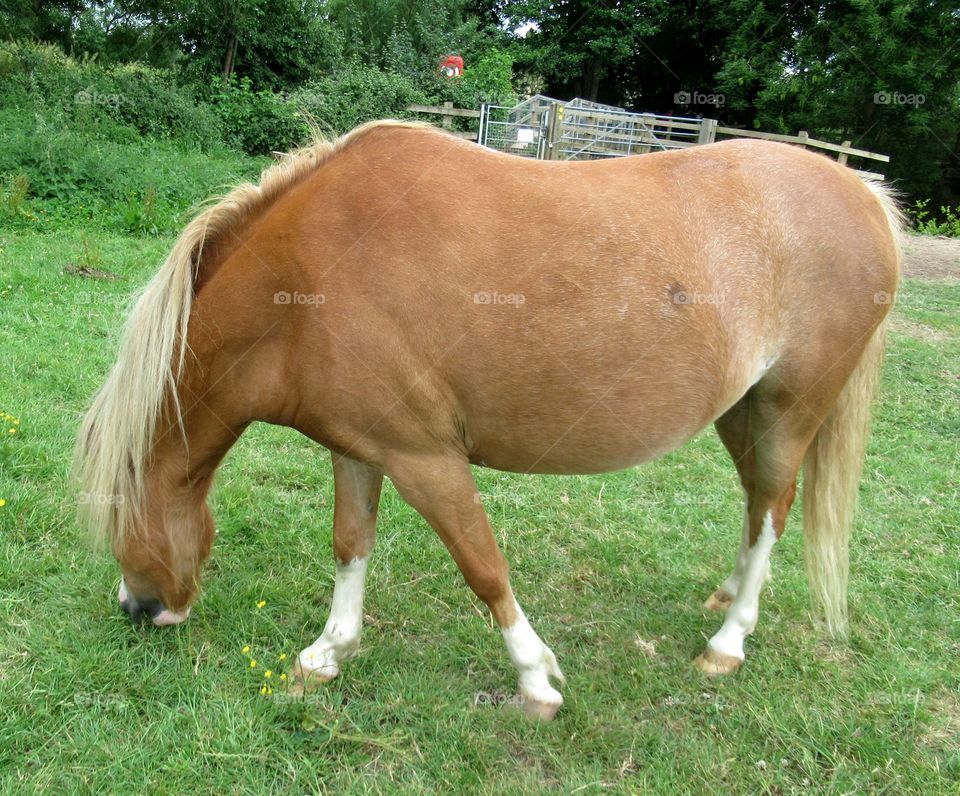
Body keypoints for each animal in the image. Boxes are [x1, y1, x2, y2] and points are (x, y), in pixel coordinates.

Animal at [75, 119, 900, 720]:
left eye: (117, 509)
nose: (138, 608)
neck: (306, 281)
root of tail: (864, 193)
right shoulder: (359, 448)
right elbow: (350, 544)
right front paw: (328, 651)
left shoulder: (425, 459)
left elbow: (482, 565)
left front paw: (535, 681)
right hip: (742, 411)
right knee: (758, 506)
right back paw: (728, 597)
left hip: (791, 409)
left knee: (775, 506)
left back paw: (728, 642)